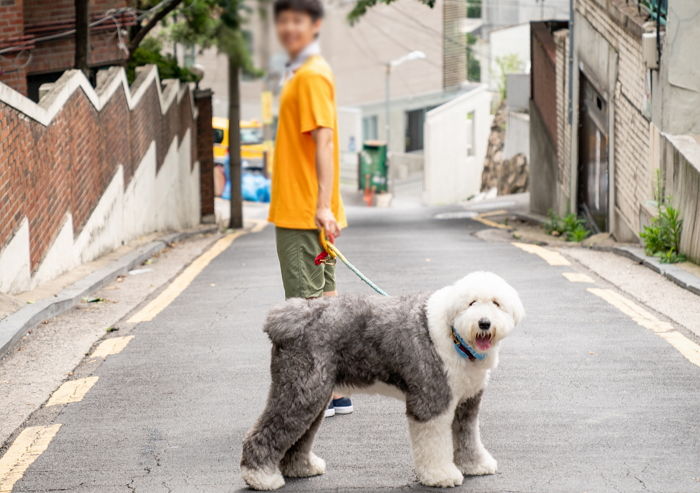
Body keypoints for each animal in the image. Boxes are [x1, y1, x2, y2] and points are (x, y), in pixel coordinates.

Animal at [241, 270, 520, 490]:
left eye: (496, 303)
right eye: (471, 303)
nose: (484, 323)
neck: (454, 333)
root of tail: (289, 317)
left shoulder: (467, 402)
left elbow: (467, 435)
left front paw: (476, 464)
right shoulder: (431, 402)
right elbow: (434, 444)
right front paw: (440, 475)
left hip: (313, 395)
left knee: (299, 435)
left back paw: (302, 468)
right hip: (301, 391)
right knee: (266, 431)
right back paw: (261, 477)